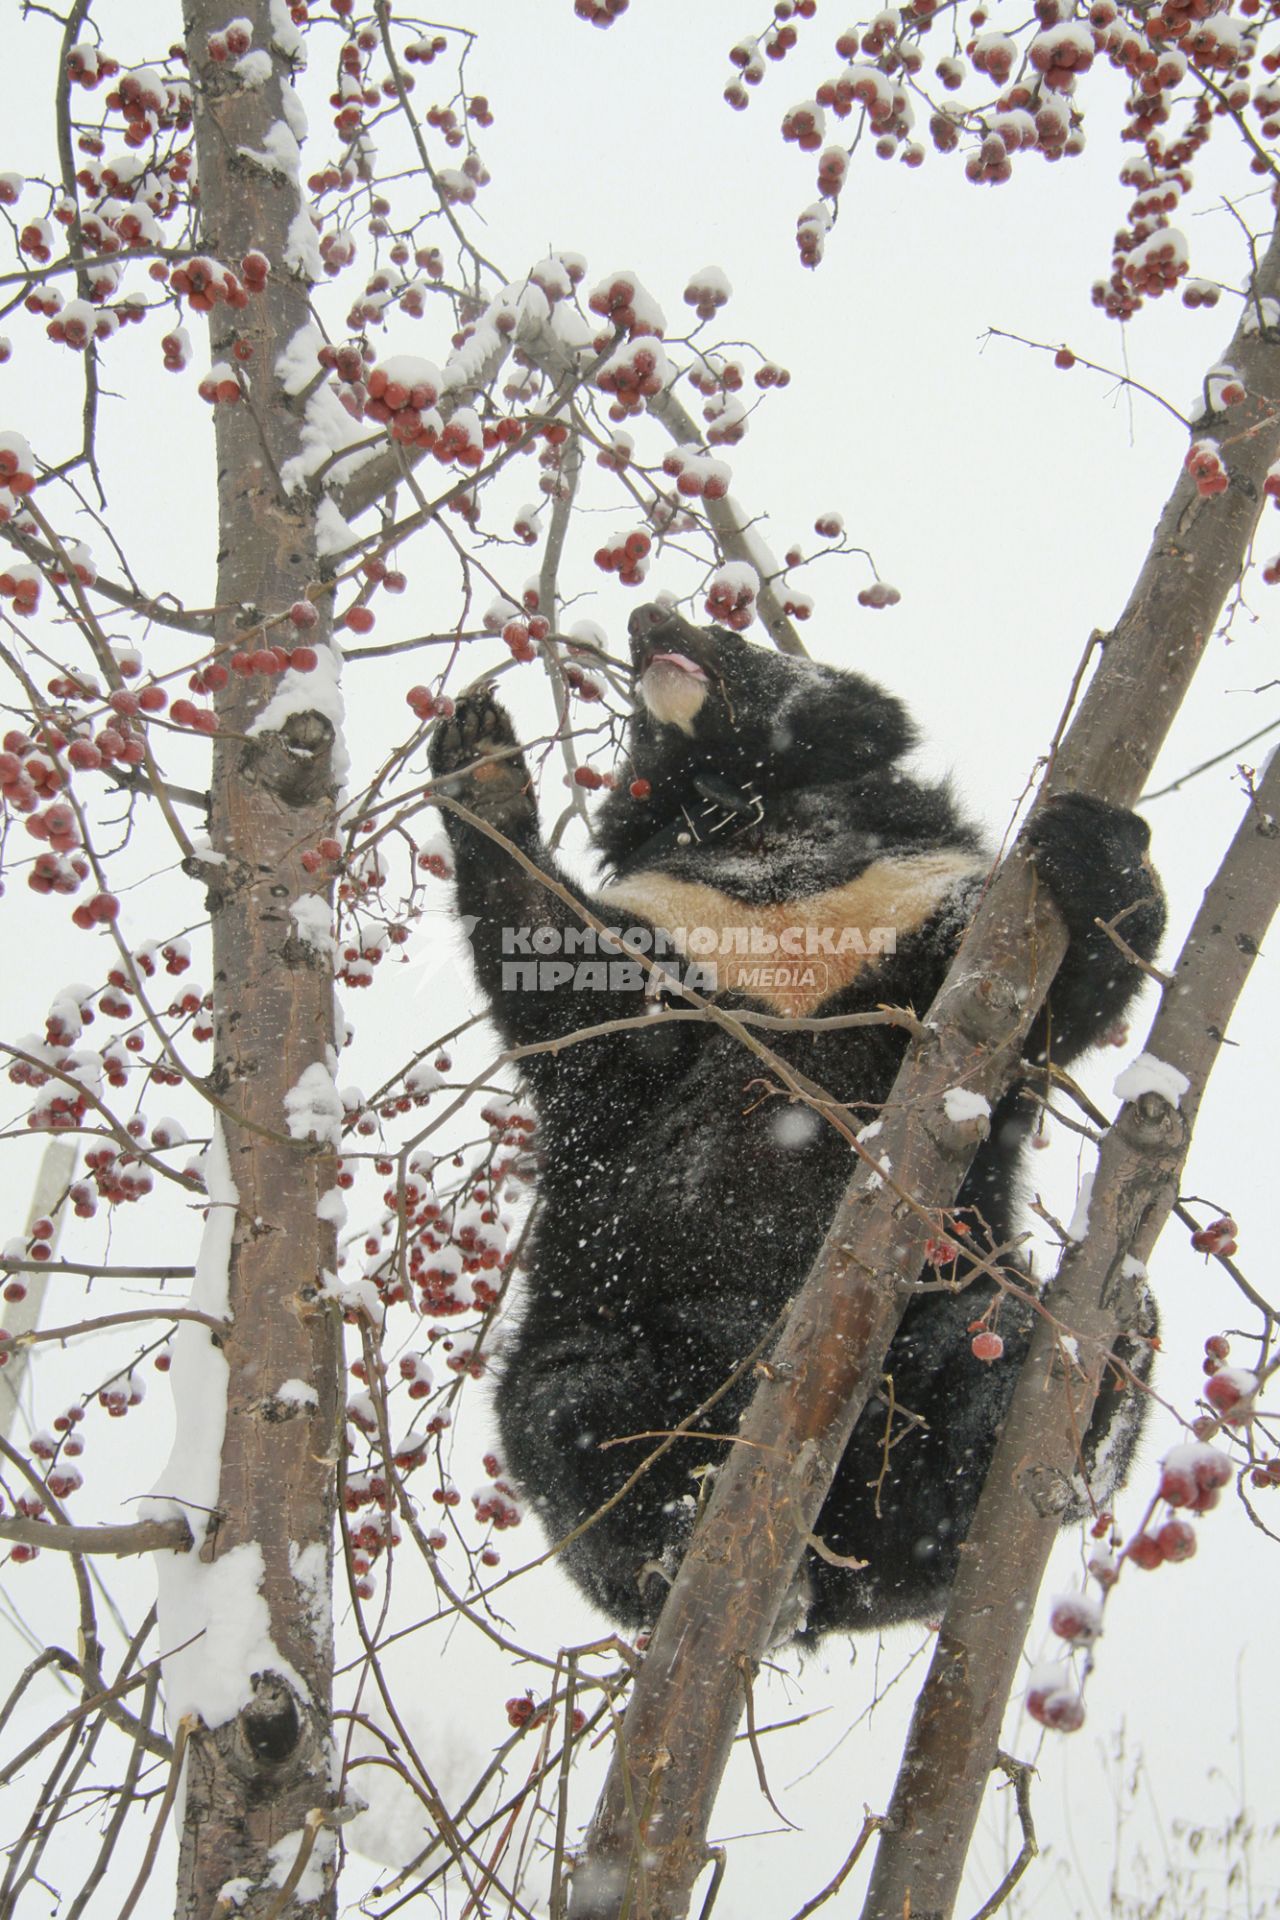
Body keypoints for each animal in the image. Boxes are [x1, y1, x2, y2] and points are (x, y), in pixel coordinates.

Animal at [433, 606, 1174, 1643]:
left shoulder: (906, 898)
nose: (647, 616)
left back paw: (1090, 1392)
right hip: (596, 1327)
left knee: (1001, 1365)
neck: (760, 829)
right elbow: (569, 988)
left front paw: (1090, 835)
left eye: (732, 631)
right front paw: (479, 755)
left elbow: (1060, 999)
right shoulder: (671, 935)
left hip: (954, 1296)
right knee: (573, 1420)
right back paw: (681, 1544)